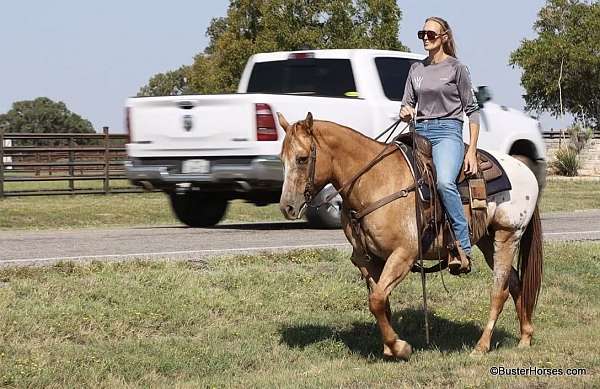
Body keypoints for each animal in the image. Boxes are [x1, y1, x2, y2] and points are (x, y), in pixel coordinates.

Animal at [278, 110, 544, 360]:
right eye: (282, 159)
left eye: (302, 159)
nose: (287, 207)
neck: (375, 181)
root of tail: (525, 170)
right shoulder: (368, 259)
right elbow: (381, 302)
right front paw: (390, 346)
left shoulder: (403, 255)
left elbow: (376, 300)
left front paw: (400, 348)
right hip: (489, 240)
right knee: (515, 281)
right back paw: (525, 337)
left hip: (507, 235)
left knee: (499, 290)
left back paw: (481, 346)